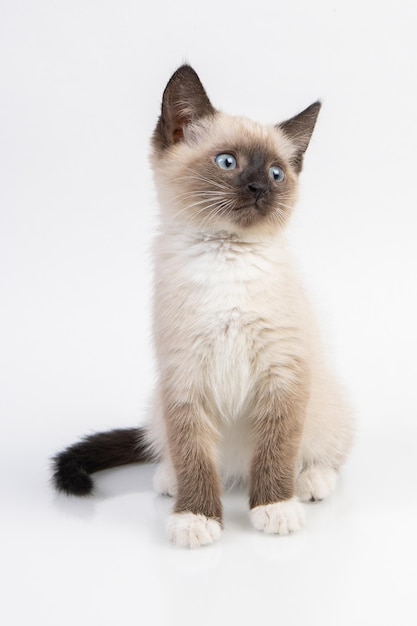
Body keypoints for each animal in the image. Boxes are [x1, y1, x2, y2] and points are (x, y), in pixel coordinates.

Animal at [50, 64, 352, 544]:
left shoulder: (283, 372)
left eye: (276, 173)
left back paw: (309, 482)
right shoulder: (184, 377)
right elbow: (192, 453)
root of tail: (236, 472)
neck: (226, 257)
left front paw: (274, 508)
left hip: (325, 399)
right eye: (227, 162)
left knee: (322, 454)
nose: (259, 189)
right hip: (159, 405)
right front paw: (196, 518)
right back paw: (169, 480)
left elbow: (277, 449)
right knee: (182, 454)